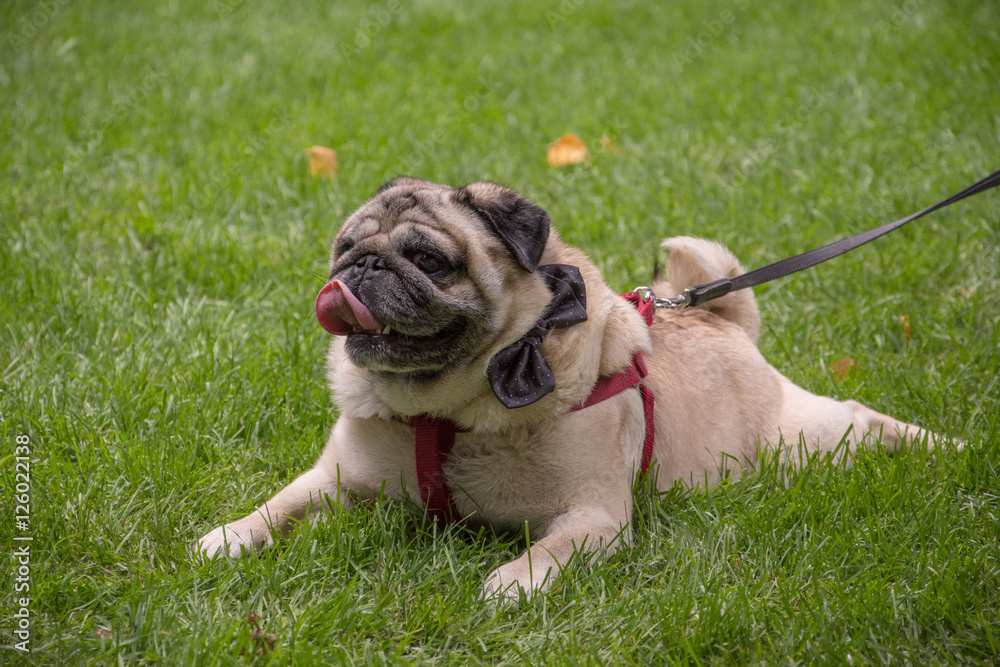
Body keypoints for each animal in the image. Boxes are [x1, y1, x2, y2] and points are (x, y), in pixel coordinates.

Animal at [201, 176, 936, 600]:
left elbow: (547, 550)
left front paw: (511, 582)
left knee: (861, 418)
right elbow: (281, 504)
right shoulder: (335, 479)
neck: (448, 411)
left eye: (430, 260)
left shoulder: (595, 516)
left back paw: (941, 448)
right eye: (346, 247)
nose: (364, 267)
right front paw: (232, 536)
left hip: (805, 440)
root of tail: (714, 315)